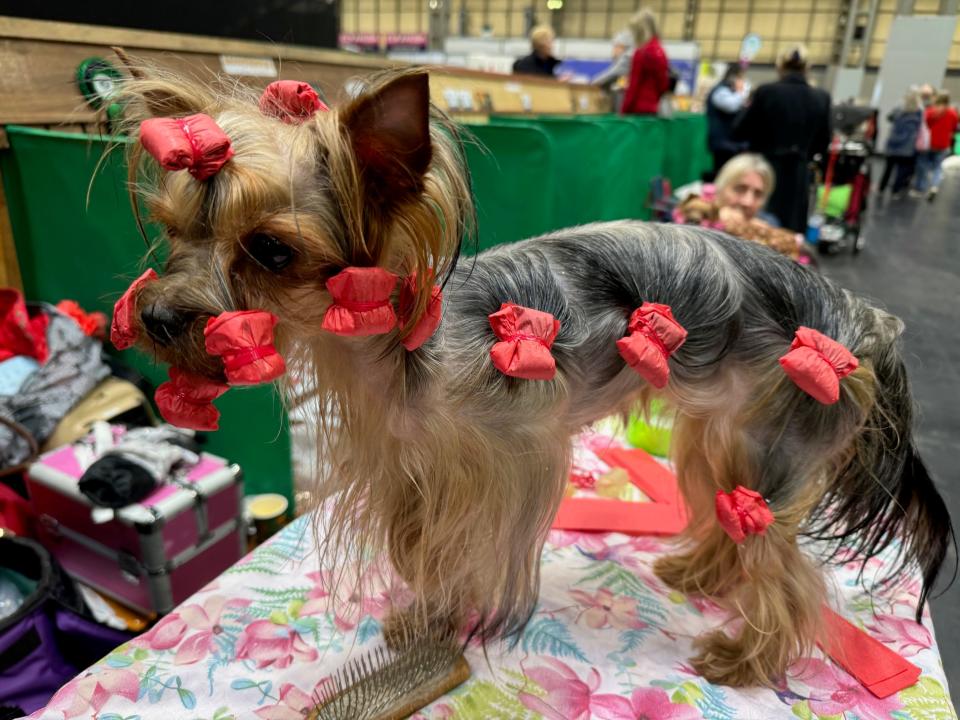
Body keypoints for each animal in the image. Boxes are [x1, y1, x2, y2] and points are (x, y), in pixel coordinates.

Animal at [112, 66, 952, 688]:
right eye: (173, 230)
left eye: (271, 250)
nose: (154, 317)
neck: (389, 350)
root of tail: (863, 318)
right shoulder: (413, 468)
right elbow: (420, 549)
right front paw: (424, 618)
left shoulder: (497, 462)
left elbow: (461, 551)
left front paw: (448, 618)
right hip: (721, 428)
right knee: (725, 514)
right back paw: (699, 571)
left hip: (773, 442)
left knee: (786, 568)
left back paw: (748, 657)